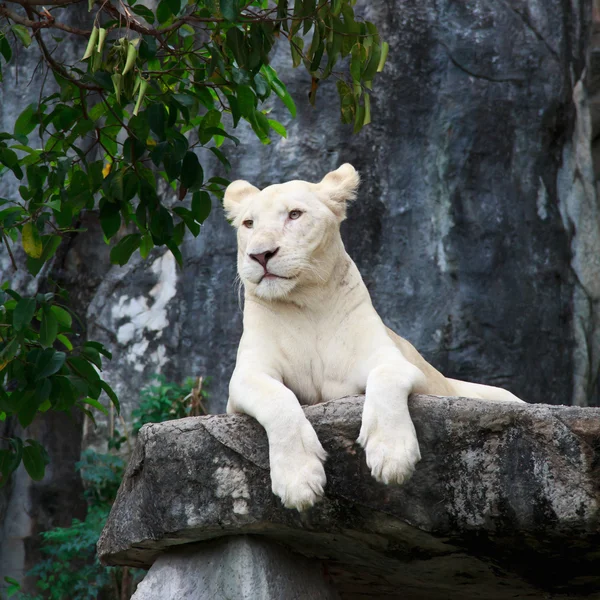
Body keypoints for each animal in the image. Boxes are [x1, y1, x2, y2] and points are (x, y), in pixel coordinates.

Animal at [223, 163, 524, 510]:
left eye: (294, 214)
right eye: (249, 223)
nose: (260, 255)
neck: (306, 304)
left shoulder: (393, 360)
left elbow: (385, 378)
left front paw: (392, 456)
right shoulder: (245, 378)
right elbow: (277, 399)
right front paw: (298, 481)